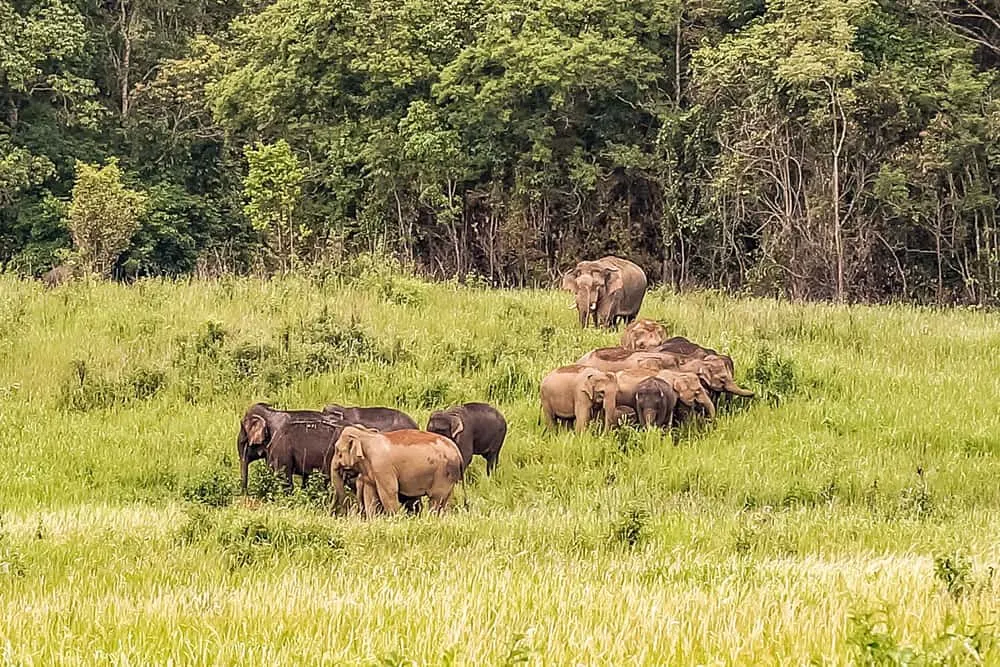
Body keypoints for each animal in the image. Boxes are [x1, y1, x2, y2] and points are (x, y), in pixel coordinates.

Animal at [330, 426, 464, 517]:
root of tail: (457, 450)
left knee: (436, 499)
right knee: (446, 500)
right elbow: (370, 493)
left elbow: (388, 492)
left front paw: (394, 519)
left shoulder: (382, 466)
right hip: (449, 476)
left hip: (442, 473)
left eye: (338, 451)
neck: (365, 434)